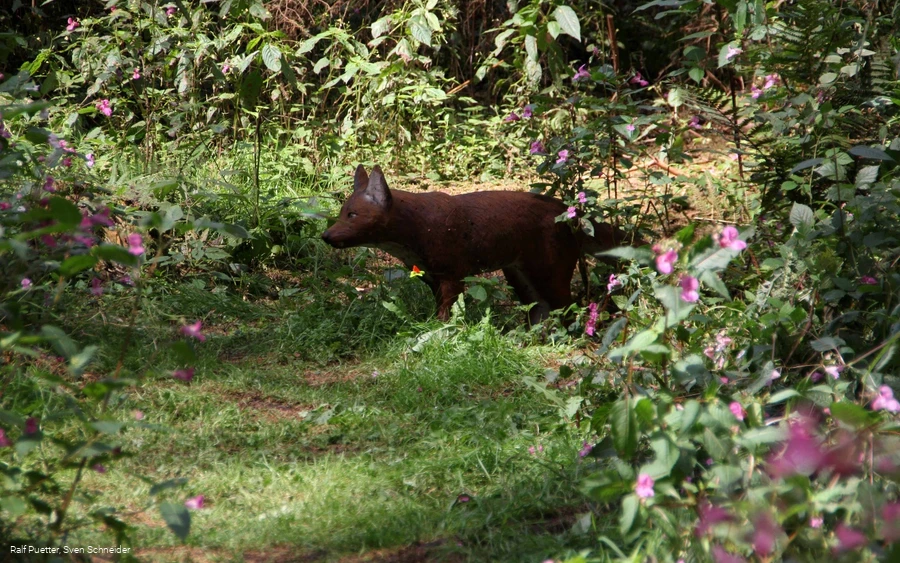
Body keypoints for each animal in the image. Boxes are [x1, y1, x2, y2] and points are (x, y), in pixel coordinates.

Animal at [322, 165, 641, 324]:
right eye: (340, 213)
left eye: (352, 215)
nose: (325, 236)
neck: (419, 228)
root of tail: (568, 210)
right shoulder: (433, 278)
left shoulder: (453, 276)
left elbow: (446, 315)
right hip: (521, 279)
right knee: (541, 313)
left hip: (549, 277)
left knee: (571, 309)